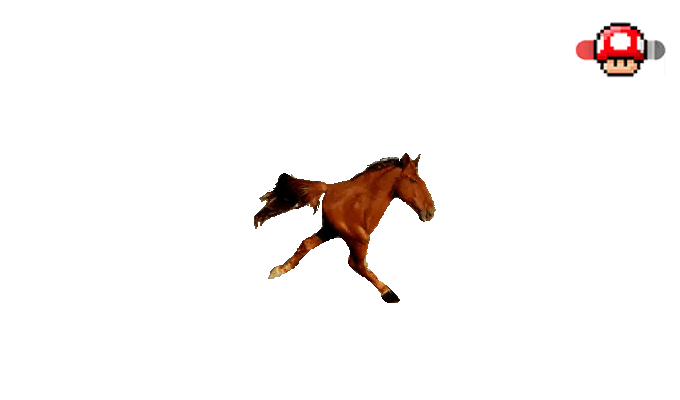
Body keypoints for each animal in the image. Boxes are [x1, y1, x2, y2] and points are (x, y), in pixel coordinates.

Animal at [254, 153, 436, 303]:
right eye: (412, 180)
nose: (431, 212)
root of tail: (328, 187)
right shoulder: (357, 236)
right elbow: (357, 264)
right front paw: (388, 293)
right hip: (354, 235)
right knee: (355, 263)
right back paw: (388, 293)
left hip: (330, 230)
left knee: (307, 244)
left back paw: (279, 269)